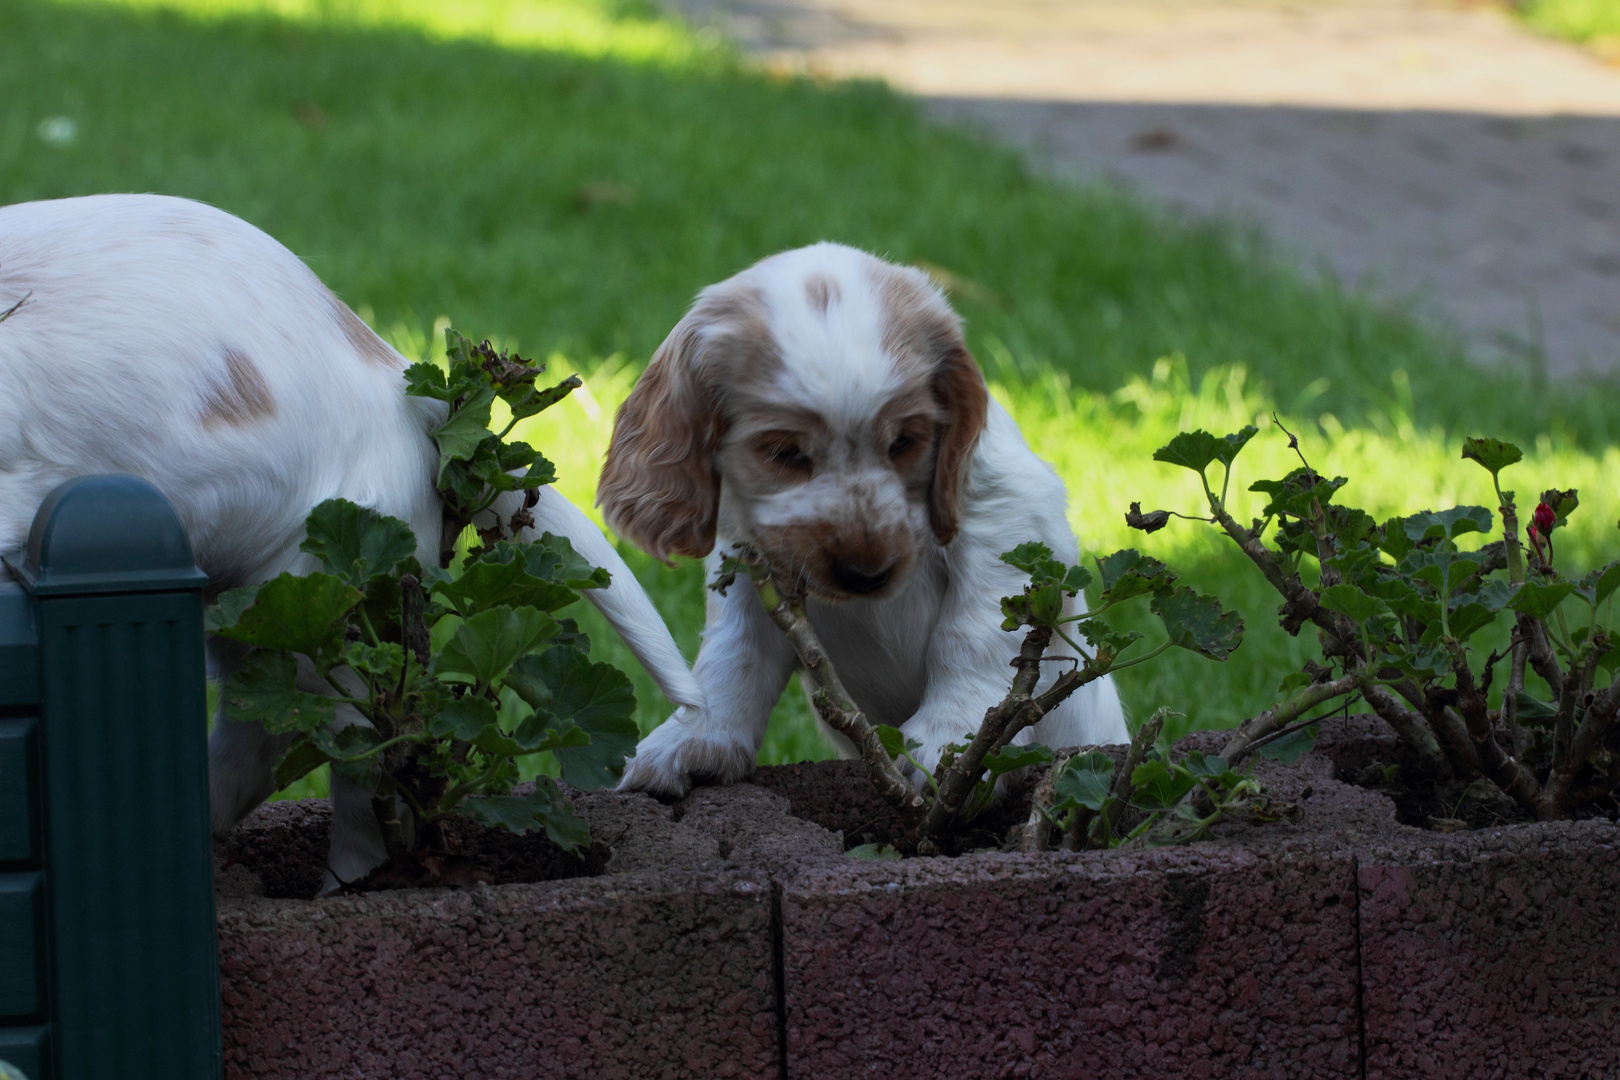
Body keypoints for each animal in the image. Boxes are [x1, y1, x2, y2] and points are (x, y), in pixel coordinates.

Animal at [0, 196, 703, 887]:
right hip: (263, 604)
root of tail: (404, 386)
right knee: (265, 727)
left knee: (366, 765)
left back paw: (345, 886)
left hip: (329, 604)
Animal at [602, 242, 1121, 793]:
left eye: (905, 442)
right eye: (785, 452)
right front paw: (695, 738)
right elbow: (734, 649)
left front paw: (948, 739)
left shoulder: (1009, 516)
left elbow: (975, 634)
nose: (865, 575)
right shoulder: (751, 561)